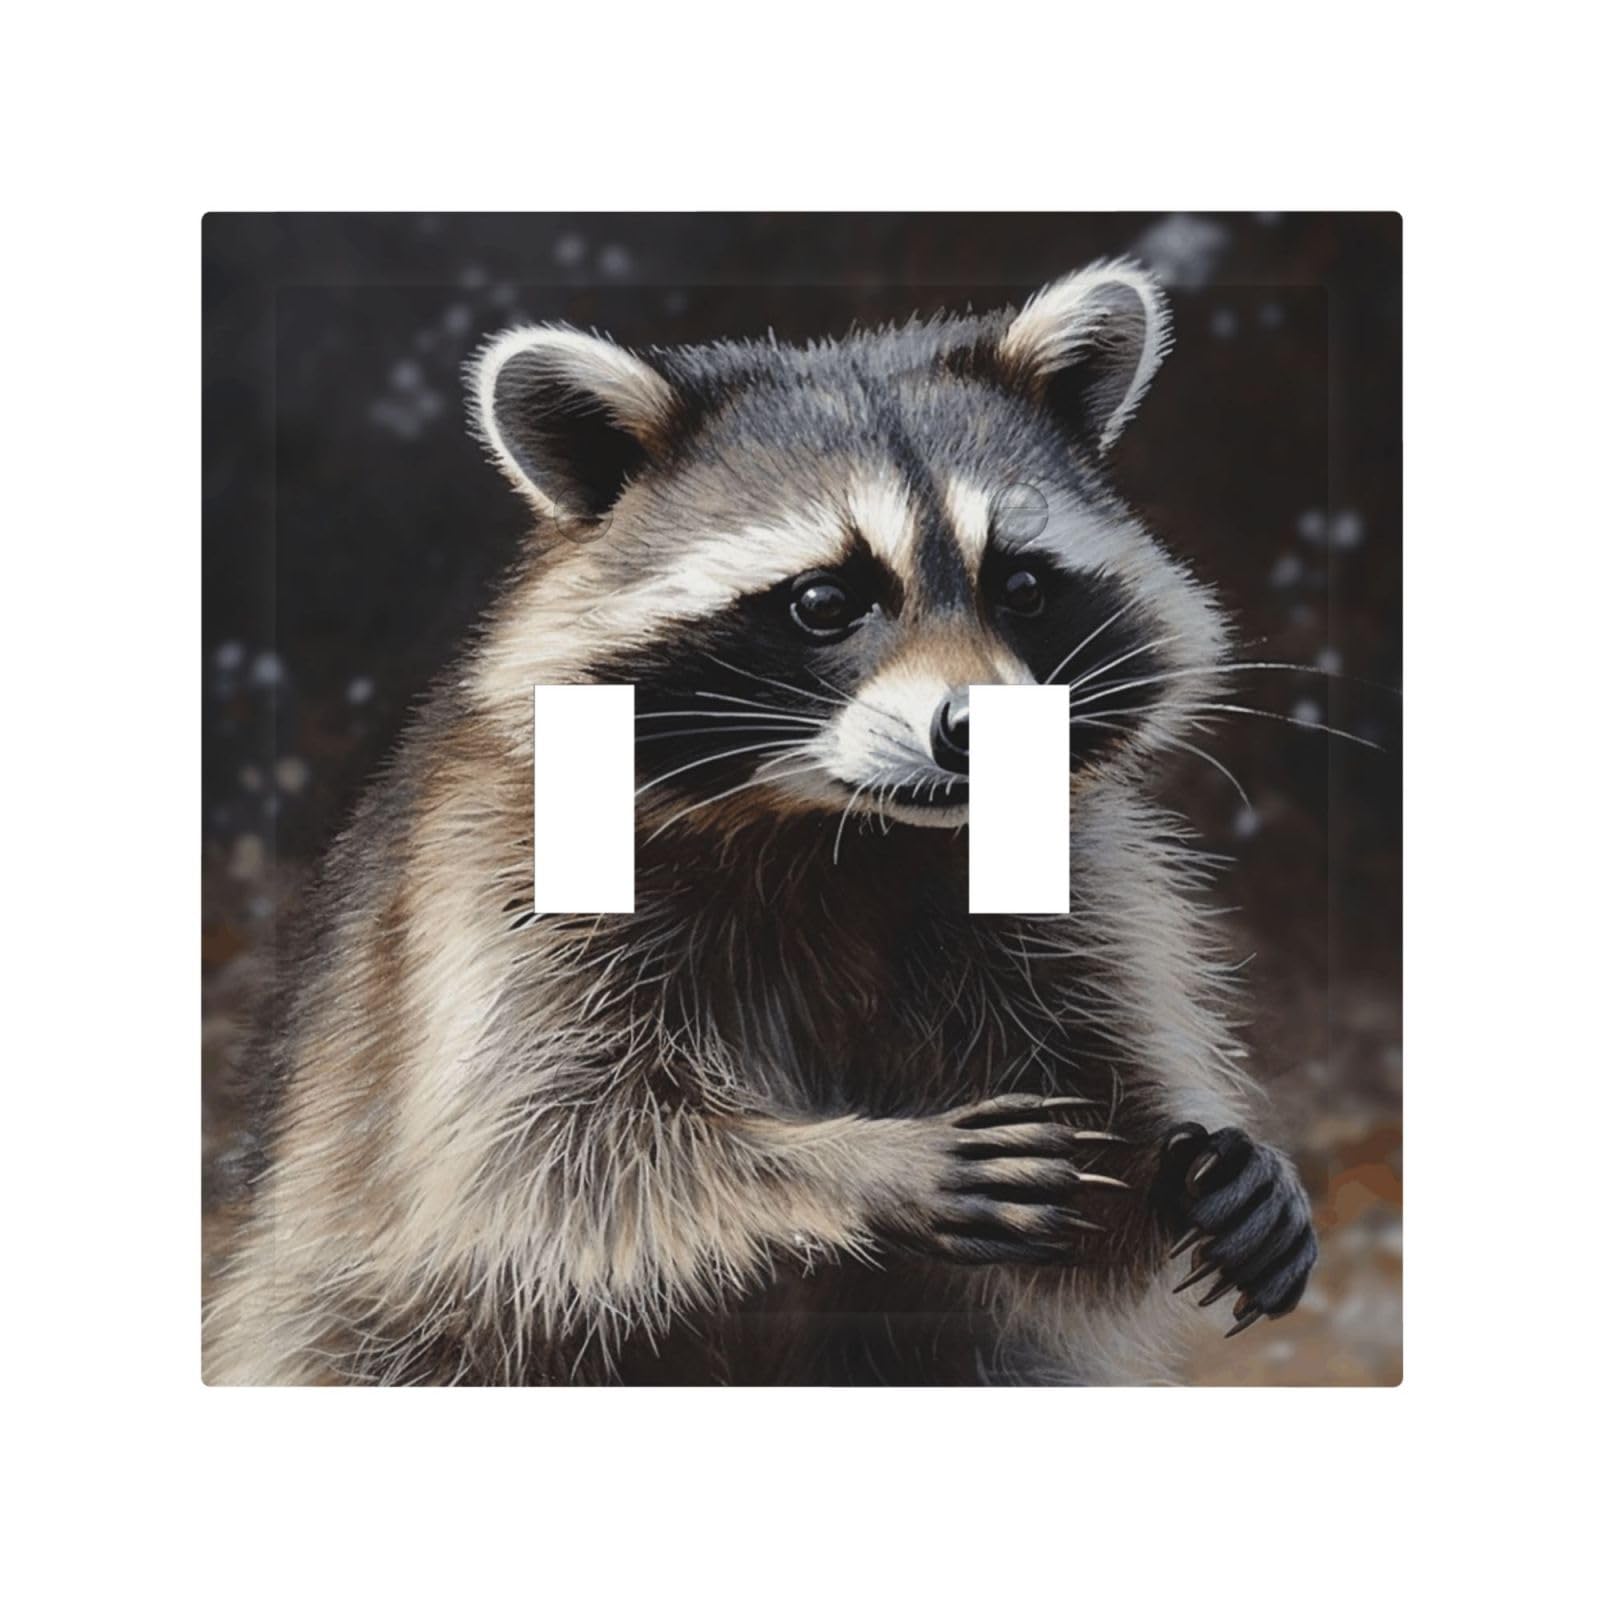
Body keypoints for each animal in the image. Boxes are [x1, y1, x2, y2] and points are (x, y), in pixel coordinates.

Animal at [205, 259, 1317, 1385]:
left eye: (1021, 585)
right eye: (825, 601)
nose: (985, 732)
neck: (843, 830)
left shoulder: (1066, 881)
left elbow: (1092, 1184)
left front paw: (1193, 1157)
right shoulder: (505, 882)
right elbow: (537, 1163)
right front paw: (858, 1163)